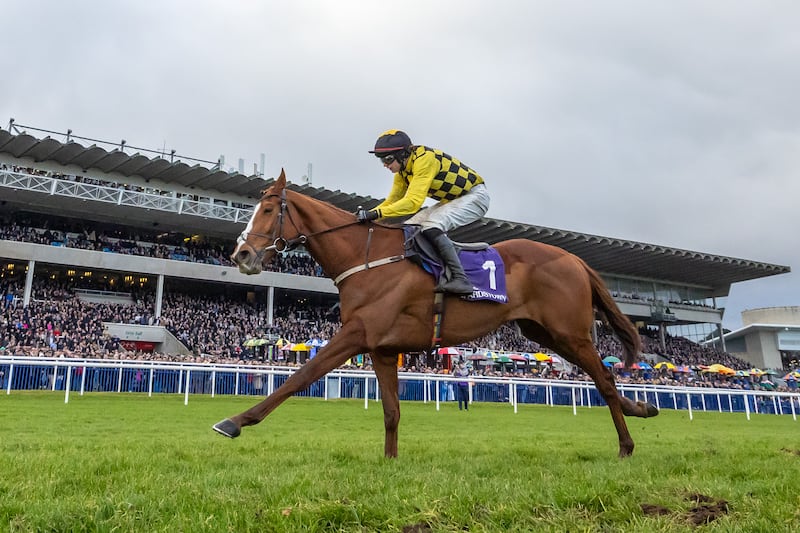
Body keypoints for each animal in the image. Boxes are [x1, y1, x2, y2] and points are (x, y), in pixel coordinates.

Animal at [212, 170, 656, 458]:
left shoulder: (355, 334)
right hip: (543, 334)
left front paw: (234, 421)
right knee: (601, 376)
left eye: (268, 210)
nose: (241, 255)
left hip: (569, 331)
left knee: (604, 379)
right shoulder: (382, 348)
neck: (366, 258)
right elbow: (391, 410)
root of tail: (575, 259)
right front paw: (390, 461)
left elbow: (300, 376)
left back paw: (626, 445)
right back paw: (642, 408)